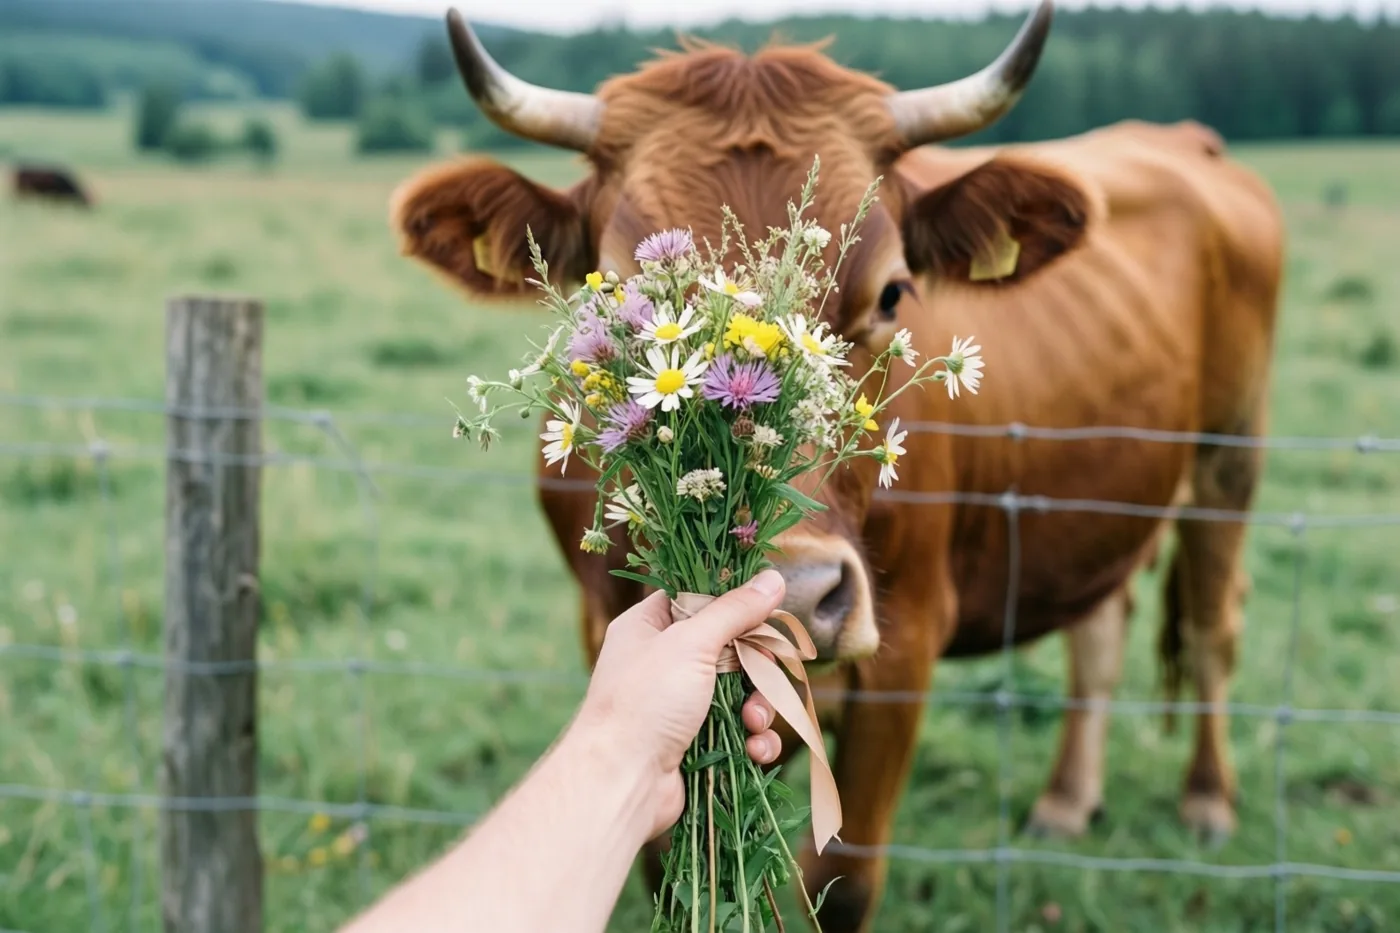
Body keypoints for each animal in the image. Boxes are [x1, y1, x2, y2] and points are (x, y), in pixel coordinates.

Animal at [389, 4, 1285, 929]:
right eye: (614, 299)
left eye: (892, 292)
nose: (799, 597)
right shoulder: (610, 636)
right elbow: (664, 851)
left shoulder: (906, 646)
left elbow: (844, 880)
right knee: (1101, 626)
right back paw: (1067, 801)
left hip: (1231, 455)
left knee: (1214, 622)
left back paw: (1208, 800)